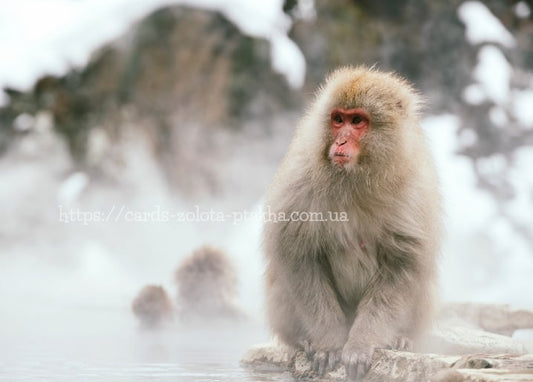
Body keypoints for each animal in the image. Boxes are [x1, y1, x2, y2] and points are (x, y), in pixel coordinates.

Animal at [262, 65, 440, 380]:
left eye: (357, 121)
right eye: (338, 119)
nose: (340, 142)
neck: (355, 179)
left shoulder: (414, 192)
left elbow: (403, 266)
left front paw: (361, 344)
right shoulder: (300, 180)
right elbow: (297, 256)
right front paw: (330, 343)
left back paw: (401, 339)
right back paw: (304, 339)